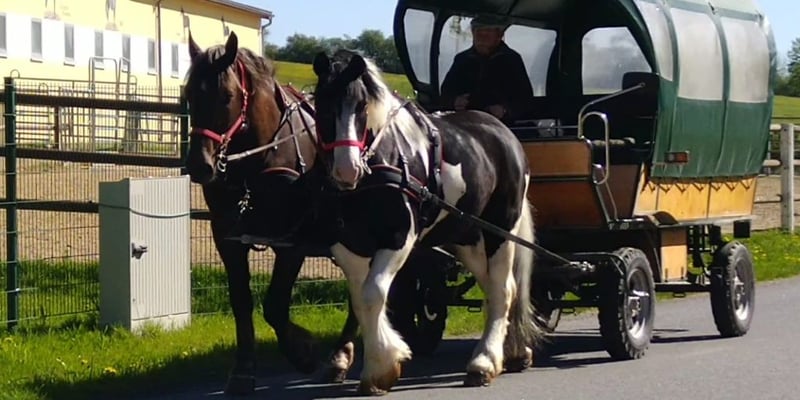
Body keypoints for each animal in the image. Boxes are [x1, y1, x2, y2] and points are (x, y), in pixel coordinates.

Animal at [182, 31, 361, 394]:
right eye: (189, 94)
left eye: (227, 96)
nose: (199, 165)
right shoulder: (227, 236)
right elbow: (242, 301)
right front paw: (243, 370)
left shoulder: (293, 241)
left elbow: (276, 306)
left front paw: (303, 352)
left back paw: (341, 355)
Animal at [311, 48, 544, 395]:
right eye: (322, 103)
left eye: (361, 106)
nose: (347, 169)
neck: (381, 163)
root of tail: (504, 133)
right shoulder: (347, 245)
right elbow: (362, 301)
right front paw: (383, 362)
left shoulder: (400, 238)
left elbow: (373, 294)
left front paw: (380, 368)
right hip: (466, 238)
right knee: (493, 287)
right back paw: (512, 353)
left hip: (501, 230)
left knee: (504, 290)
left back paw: (484, 363)